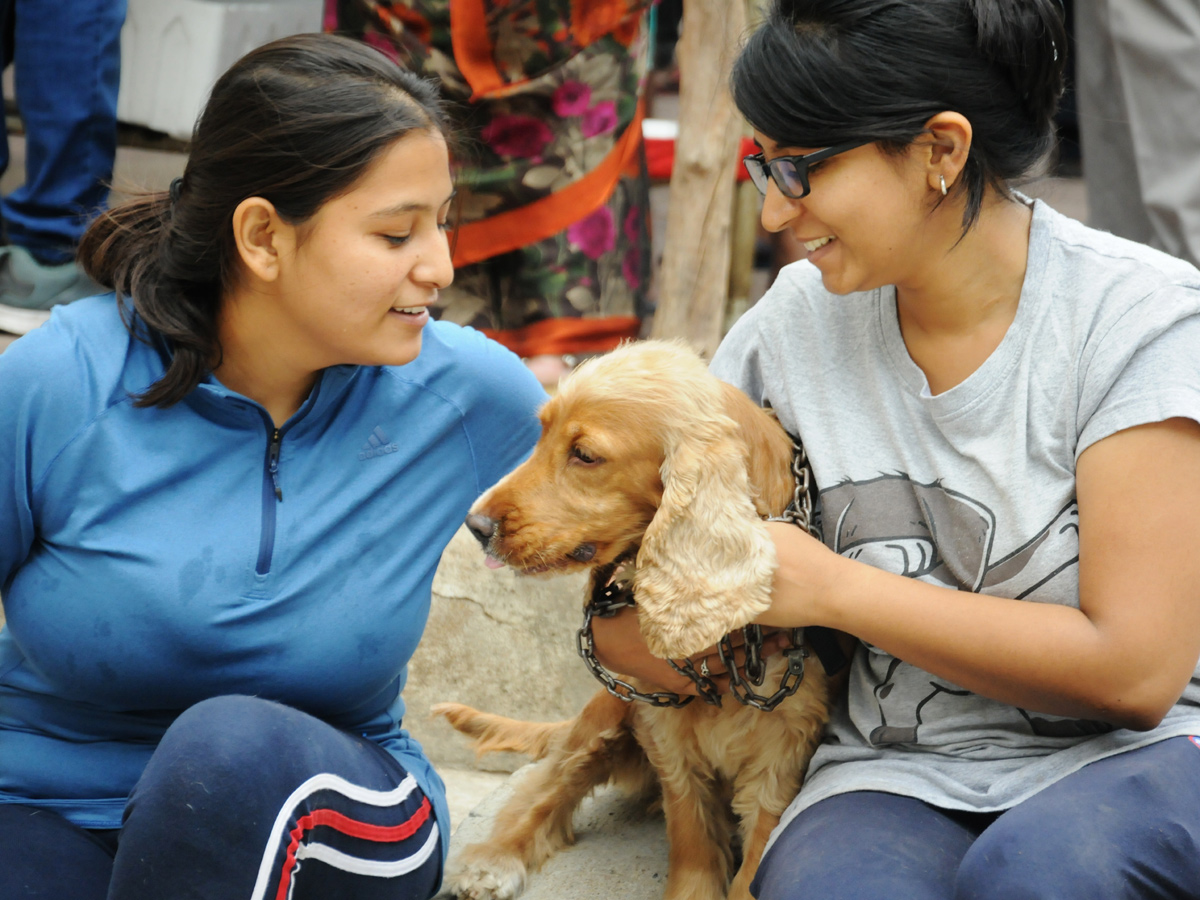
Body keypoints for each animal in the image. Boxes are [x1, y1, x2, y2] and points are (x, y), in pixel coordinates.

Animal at [436, 340, 849, 900]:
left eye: (585, 454)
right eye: (541, 434)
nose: (475, 525)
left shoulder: (784, 747)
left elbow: (756, 852)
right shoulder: (665, 729)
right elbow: (691, 835)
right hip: (609, 713)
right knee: (550, 783)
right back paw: (492, 860)